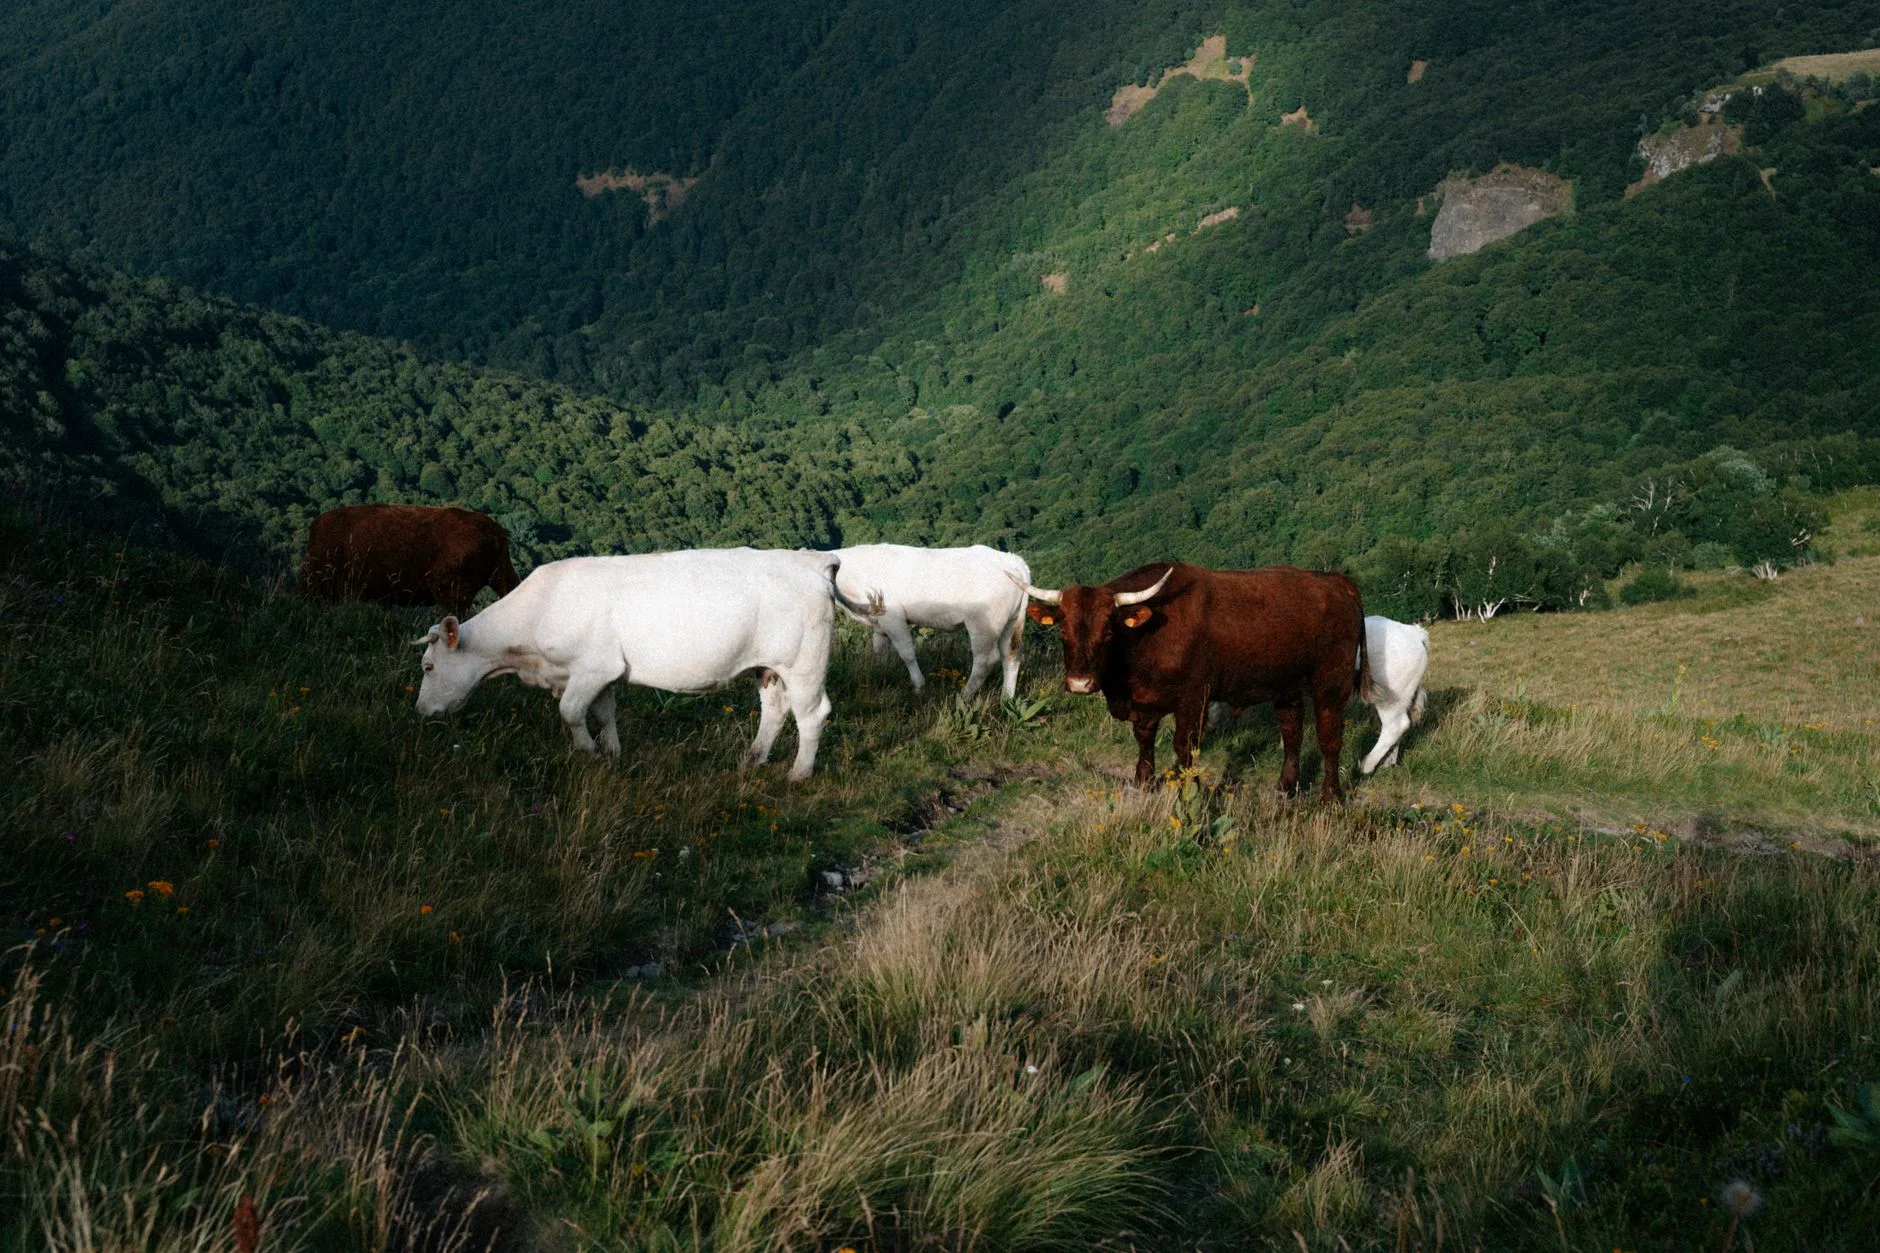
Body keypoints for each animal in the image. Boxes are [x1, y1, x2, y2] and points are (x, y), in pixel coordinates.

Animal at [413, 548, 879, 780]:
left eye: (428, 667)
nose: (420, 711)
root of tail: (811, 559)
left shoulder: (591, 667)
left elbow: (570, 712)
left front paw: (589, 754)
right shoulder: (602, 672)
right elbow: (604, 713)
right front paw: (612, 755)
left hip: (804, 662)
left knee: (812, 713)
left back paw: (798, 774)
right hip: (770, 666)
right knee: (775, 709)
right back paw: (753, 760)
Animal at [829, 544, 1032, 699]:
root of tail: (1013, 560)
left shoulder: (893, 617)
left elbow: (907, 653)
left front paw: (919, 687)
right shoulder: (879, 624)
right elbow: (880, 650)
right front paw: (882, 674)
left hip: (983, 624)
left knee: (985, 660)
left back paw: (964, 696)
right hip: (1010, 622)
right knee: (1011, 655)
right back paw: (1006, 699)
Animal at [1020, 563, 1369, 801]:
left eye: (1108, 632)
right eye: (1063, 631)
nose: (1080, 682)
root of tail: (1333, 581)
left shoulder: (1193, 696)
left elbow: (1184, 745)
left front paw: (1190, 788)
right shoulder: (1144, 699)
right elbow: (1144, 738)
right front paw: (1144, 781)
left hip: (1331, 683)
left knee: (1329, 739)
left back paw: (1330, 796)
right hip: (1287, 685)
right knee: (1292, 732)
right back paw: (1286, 787)